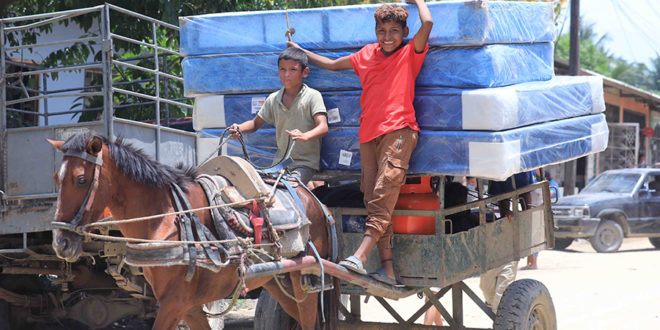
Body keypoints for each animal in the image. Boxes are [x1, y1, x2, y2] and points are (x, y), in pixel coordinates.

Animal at [49, 133, 332, 330]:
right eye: (55, 179)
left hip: (305, 278)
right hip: (275, 280)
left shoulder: (174, 303)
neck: (164, 219)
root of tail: (313, 198)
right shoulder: (190, 307)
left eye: (81, 179)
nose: (61, 243)